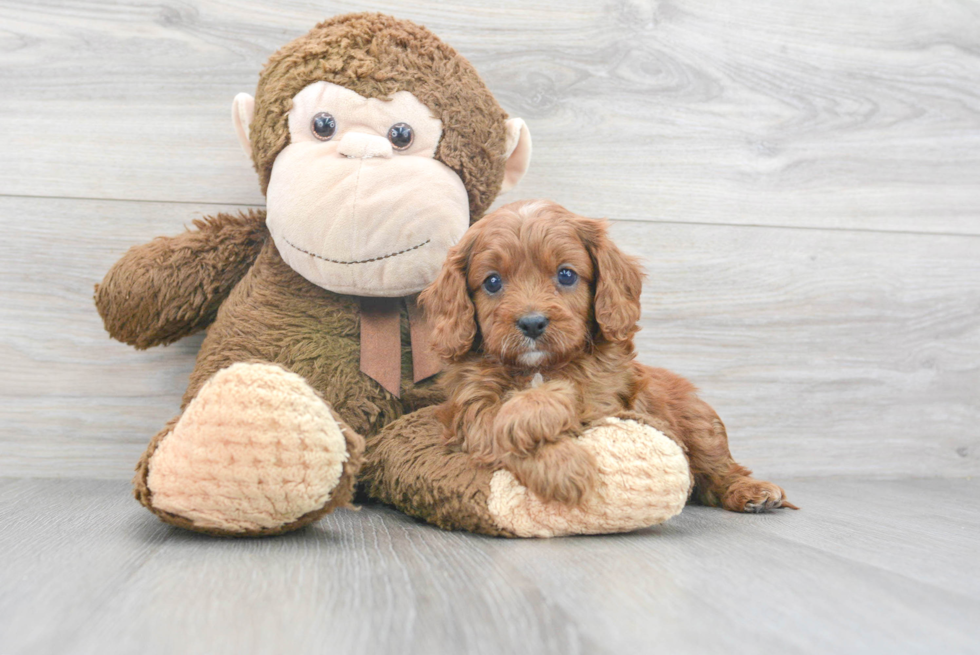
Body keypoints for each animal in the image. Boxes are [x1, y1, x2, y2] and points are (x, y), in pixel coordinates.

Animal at [420, 200, 796, 512]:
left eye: (566, 274)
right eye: (493, 282)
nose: (532, 323)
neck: (538, 368)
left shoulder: (604, 402)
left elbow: (553, 401)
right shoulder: (471, 408)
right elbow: (498, 424)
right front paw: (566, 469)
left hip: (699, 420)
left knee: (718, 467)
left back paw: (752, 491)